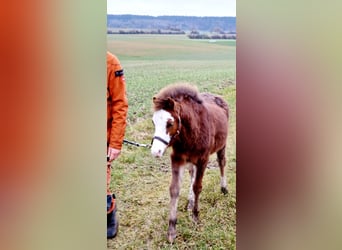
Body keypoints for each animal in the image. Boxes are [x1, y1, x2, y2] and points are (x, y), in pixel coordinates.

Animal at [150, 83, 228, 242]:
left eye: (170, 123)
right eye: (153, 122)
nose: (156, 152)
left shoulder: (203, 159)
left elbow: (198, 187)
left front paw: (196, 216)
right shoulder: (177, 159)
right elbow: (174, 190)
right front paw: (172, 229)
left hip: (222, 145)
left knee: (222, 162)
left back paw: (223, 188)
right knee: (192, 173)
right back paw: (190, 202)